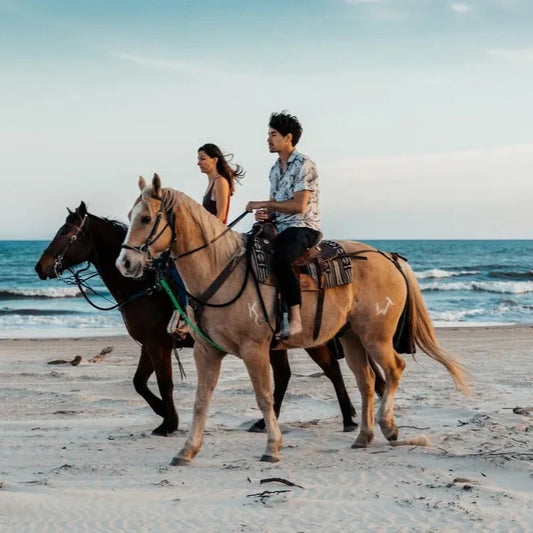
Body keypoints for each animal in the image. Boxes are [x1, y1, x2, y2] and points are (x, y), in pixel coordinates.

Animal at [35, 203, 380, 432]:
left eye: (65, 231)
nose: (41, 267)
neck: (143, 284)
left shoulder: (158, 344)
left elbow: (164, 382)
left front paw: (168, 422)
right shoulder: (150, 344)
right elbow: (139, 383)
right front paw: (163, 414)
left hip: (308, 337)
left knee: (331, 370)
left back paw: (348, 418)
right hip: (277, 343)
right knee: (286, 375)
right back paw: (266, 421)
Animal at [116, 174, 466, 462]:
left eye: (146, 218)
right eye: (129, 217)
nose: (125, 263)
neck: (220, 269)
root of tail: (389, 257)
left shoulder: (254, 350)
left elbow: (263, 396)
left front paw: (272, 447)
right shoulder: (206, 351)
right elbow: (201, 400)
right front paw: (187, 450)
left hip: (375, 336)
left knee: (393, 369)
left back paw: (388, 427)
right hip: (351, 337)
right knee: (365, 380)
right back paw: (364, 435)